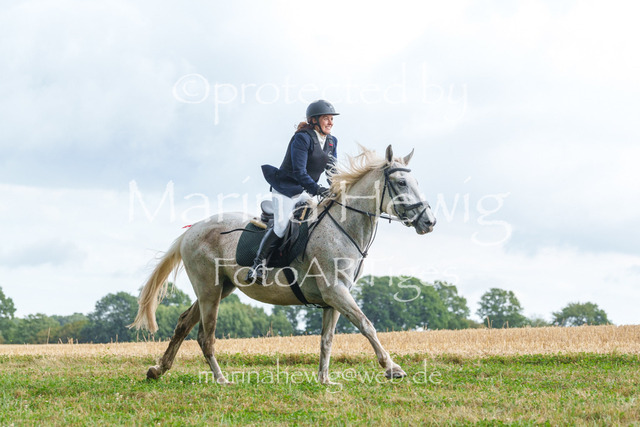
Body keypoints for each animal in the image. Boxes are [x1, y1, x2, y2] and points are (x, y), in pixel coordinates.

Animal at [130, 145, 436, 384]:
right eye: (401, 183)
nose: (429, 222)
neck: (343, 226)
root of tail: (191, 230)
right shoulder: (336, 291)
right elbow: (366, 325)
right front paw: (392, 368)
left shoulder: (333, 298)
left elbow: (327, 339)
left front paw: (324, 379)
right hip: (209, 290)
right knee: (206, 336)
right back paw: (221, 379)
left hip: (222, 288)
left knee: (183, 323)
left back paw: (158, 370)